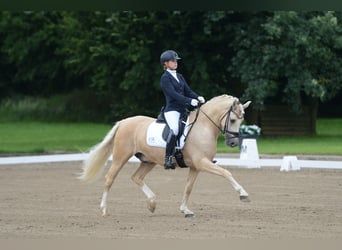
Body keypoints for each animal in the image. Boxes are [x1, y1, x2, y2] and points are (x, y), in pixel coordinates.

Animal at [79, 94, 251, 217]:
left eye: (242, 120)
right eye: (233, 120)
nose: (233, 143)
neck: (204, 127)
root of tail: (123, 122)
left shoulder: (196, 167)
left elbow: (188, 188)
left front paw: (185, 210)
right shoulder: (202, 162)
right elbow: (226, 173)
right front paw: (244, 195)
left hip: (148, 160)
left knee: (137, 177)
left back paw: (152, 204)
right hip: (121, 157)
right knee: (110, 179)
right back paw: (104, 210)